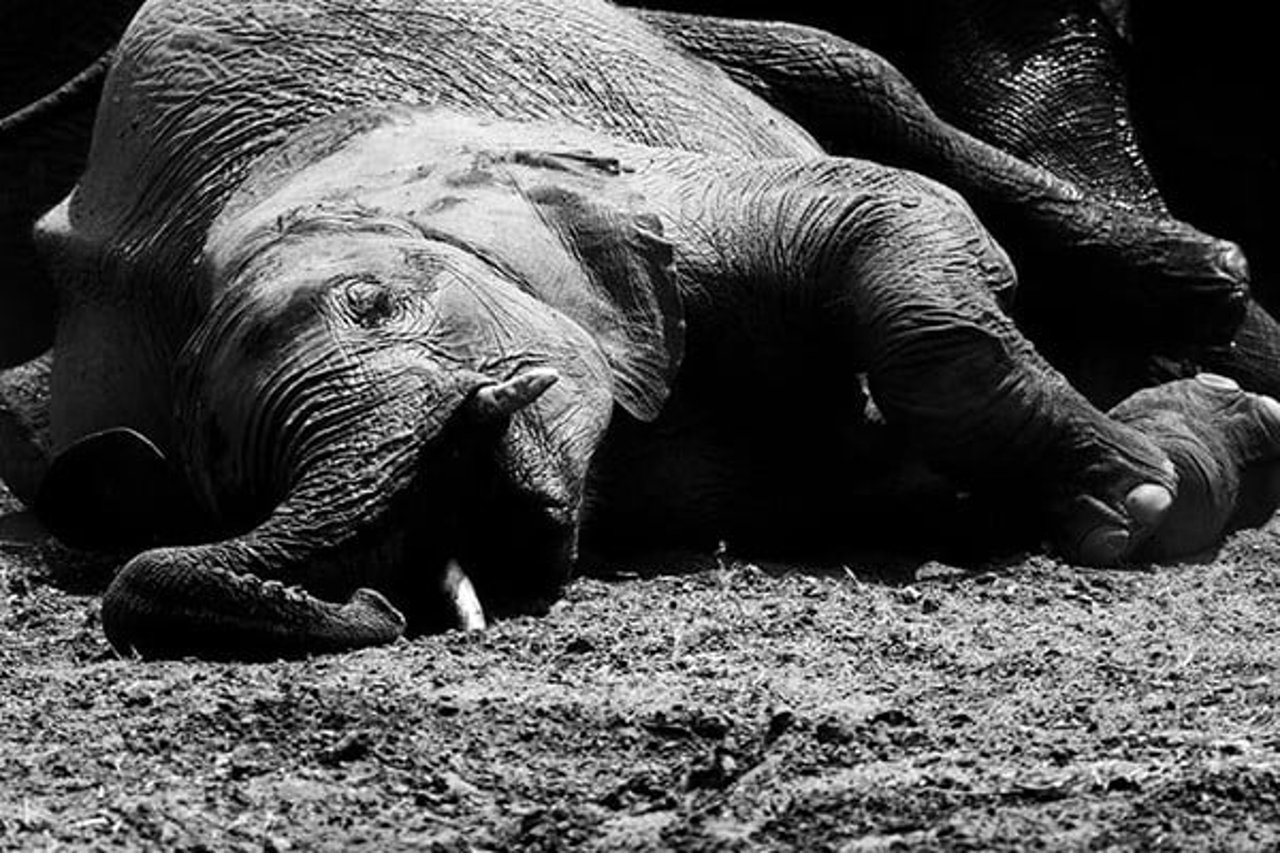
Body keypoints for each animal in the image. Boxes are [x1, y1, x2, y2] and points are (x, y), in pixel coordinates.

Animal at [2, 0, 1280, 655]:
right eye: (229, 469)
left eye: (378, 304)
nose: (377, 603)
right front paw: (1170, 459)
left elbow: (880, 209)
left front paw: (1135, 496)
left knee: (865, 87)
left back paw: (1210, 291)